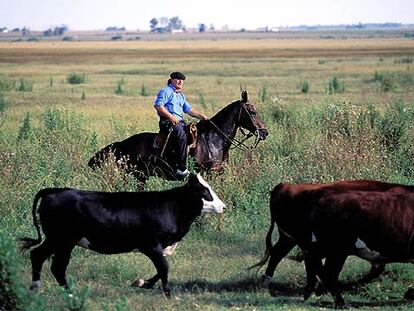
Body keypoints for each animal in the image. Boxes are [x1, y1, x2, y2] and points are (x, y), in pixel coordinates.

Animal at [21, 174, 225, 298]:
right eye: (204, 190)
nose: (223, 206)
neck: (171, 206)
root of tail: (56, 190)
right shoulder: (151, 245)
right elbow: (165, 268)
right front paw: (167, 295)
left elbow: (161, 270)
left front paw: (142, 283)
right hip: (62, 239)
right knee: (53, 264)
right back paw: (66, 293)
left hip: (58, 240)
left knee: (41, 257)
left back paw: (40, 290)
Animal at [87, 90, 268, 183]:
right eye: (252, 112)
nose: (264, 132)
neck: (214, 140)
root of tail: (122, 144)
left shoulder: (218, 173)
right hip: (134, 175)